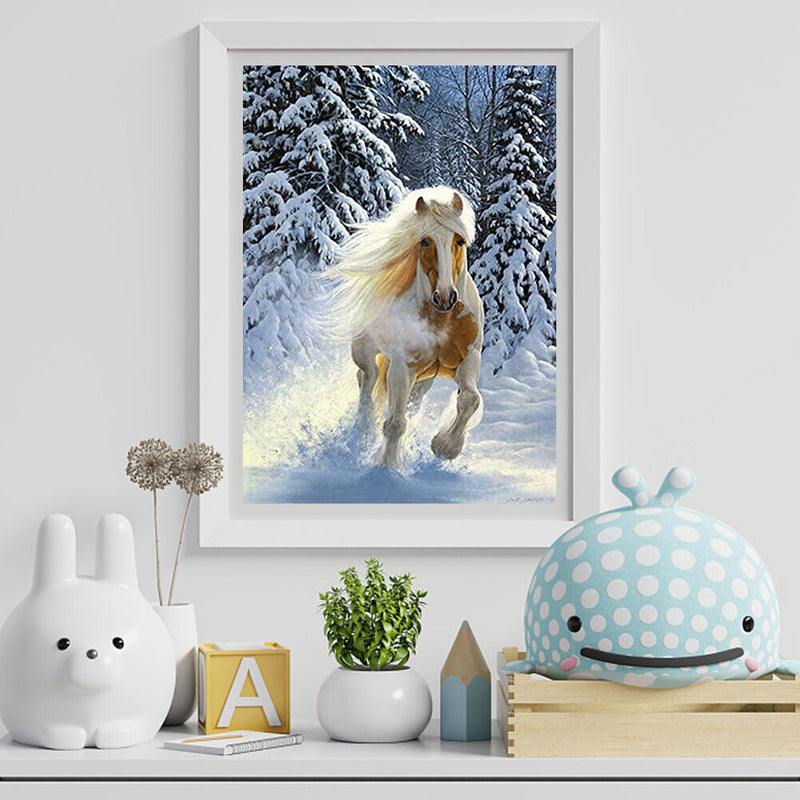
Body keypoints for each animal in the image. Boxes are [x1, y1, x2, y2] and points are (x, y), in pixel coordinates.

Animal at [326, 186, 484, 469]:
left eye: (459, 241)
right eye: (425, 241)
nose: (445, 297)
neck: (441, 319)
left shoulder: (469, 357)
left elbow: (470, 399)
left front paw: (445, 446)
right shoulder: (402, 365)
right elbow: (395, 423)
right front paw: (387, 468)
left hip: (424, 378)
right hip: (367, 353)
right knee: (367, 381)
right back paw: (363, 428)